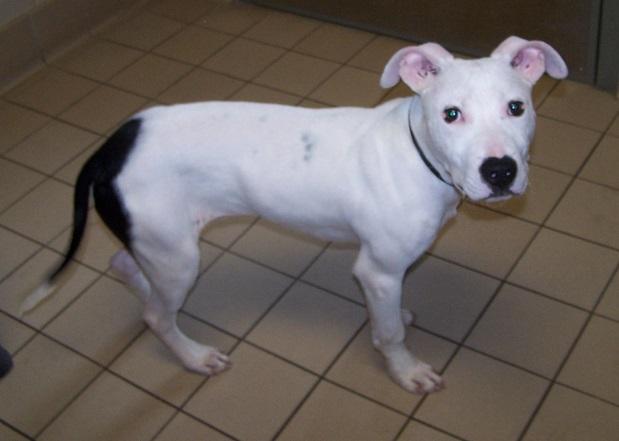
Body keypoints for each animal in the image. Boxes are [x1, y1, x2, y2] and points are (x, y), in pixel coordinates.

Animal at [23, 36, 567, 394]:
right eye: (451, 114)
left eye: (516, 108)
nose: (500, 170)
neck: (418, 152)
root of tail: (110, 147)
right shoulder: (378, 269)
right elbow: (389, 332)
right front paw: (406, 370)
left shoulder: (389, 271)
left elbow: (391, 313)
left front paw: (399, 317)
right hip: (177, 255)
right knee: (156, 315)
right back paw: (194, 356)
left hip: (158, 243)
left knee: (126, 267)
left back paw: (146, 292)